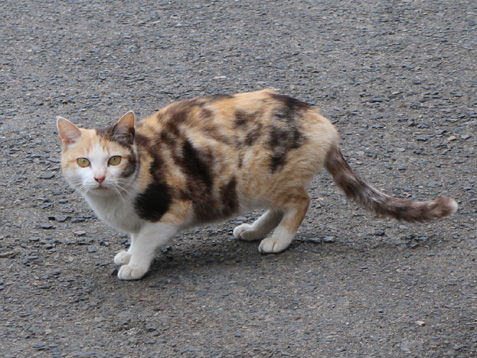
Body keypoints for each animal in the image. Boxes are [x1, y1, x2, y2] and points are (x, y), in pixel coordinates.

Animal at [55, 89, 458, 280]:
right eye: (83, 162)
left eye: (115, 160)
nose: (99, 177)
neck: (115, 199)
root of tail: (321, 119)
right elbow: (134, 234)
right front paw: (127, 252)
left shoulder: (171, 212)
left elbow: (145, 239)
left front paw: (135, 263)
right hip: (253, 184)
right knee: (282, 205)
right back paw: (253, 231)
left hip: (259, 176)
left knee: (300, 200)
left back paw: (278, 240)